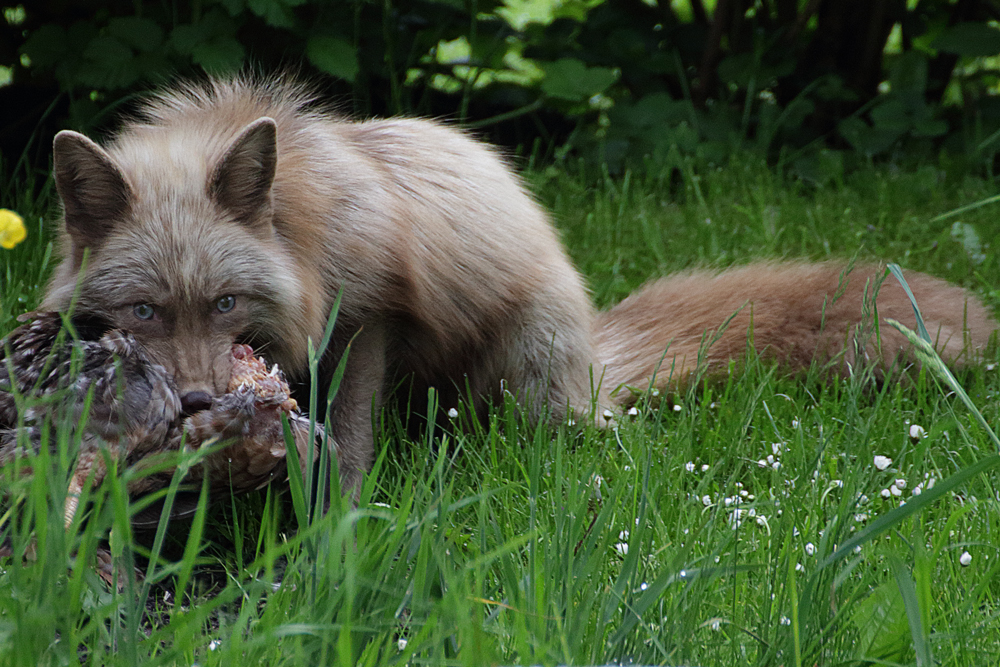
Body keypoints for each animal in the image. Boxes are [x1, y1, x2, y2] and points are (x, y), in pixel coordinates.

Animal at [43, 75, 996, 498]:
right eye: (143, 311)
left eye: (227, 303)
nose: (199, 400)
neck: (309, 229)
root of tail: (595, 364)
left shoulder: (371, 318)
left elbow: (348, 440)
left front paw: (340, 528)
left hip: (521, 379)